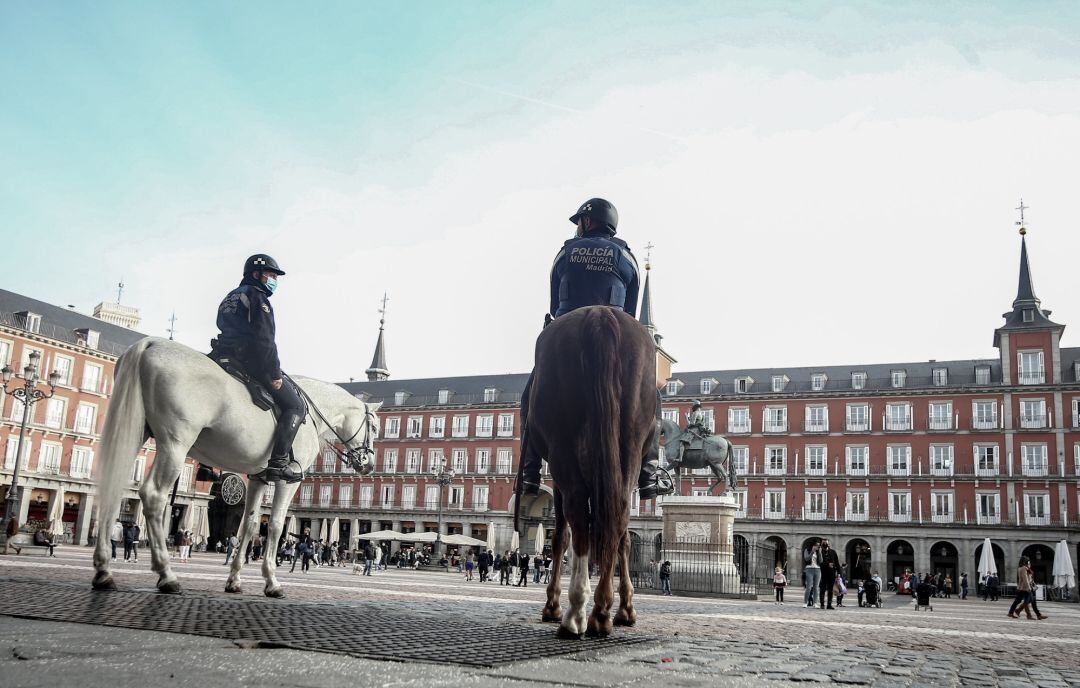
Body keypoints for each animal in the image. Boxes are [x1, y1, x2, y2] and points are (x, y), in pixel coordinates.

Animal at [92, 339, 380, 596]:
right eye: (375, 427)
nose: (369, 464)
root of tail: (149, 344)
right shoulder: (290, 480)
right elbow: (276, 525)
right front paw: (272, 582)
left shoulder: (257, 477)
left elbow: (249, 525)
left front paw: (234, 580)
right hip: (175, 443)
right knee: (153, 496)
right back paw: (167, 575)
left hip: (135, 431)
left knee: (114, 488)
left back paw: (104, 572)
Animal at [524, 306, 652, 639]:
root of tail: (599, 314)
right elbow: (622, 539)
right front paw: (626, 609)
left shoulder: (556, 481)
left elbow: (560, 537)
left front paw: (552, 605)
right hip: (628, 448)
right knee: (617, 517)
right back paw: (602, 612)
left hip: (562, 453)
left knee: (580, 519)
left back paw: (574, 614)